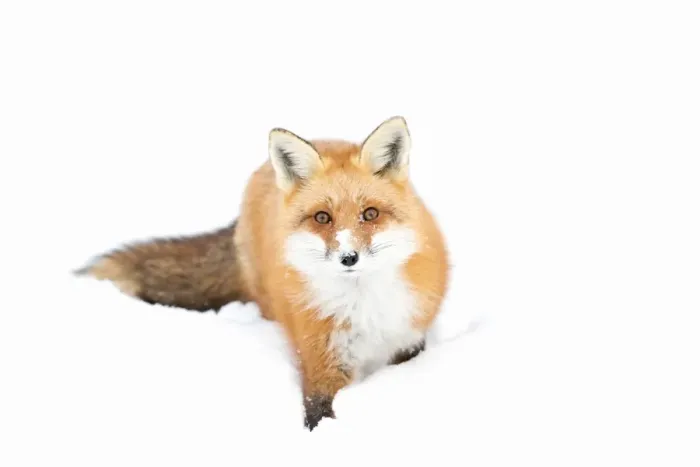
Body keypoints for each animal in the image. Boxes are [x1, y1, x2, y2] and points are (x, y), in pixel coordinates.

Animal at [76, 116, 450, 430]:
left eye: (370, 214)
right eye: (322, 217)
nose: (348, 257)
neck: (364, 307)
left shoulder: (408, 339)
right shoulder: (321, 361)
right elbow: (318, 413)